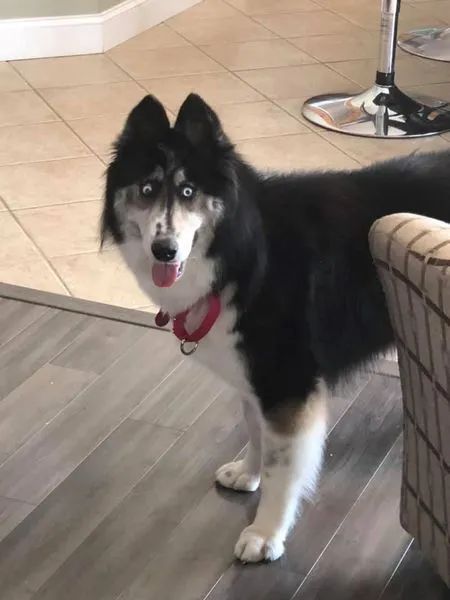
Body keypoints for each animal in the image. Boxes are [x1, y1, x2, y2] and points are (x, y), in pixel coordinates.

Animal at [101, 93, 450, 563]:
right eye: (147, 189)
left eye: (189, 192)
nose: (164, 250)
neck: (241, 250)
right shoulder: (254, 376)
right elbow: (255, 432)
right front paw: (247, 474)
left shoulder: (287, 384)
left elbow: (281, 465)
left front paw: (266, 534)